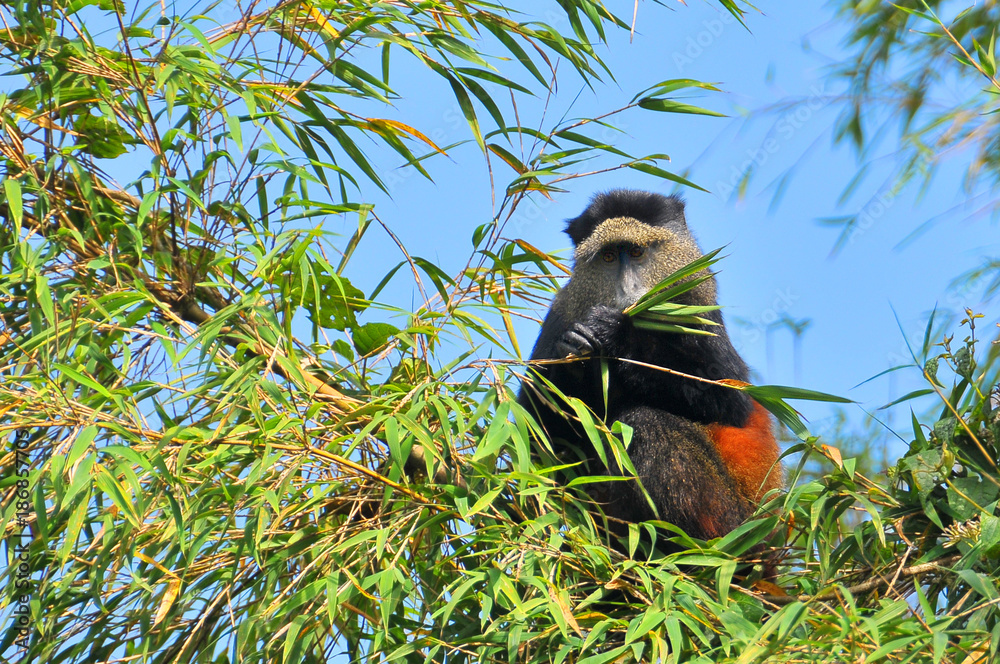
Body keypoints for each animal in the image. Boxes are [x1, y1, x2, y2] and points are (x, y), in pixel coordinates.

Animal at [519, 189, 782, 543]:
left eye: (636, 252)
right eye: (608, 258)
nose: (627, 289)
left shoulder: (699, 311)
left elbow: (731, 400)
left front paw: (615, 335)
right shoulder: (562, 311)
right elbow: (536, 435)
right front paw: (573, 353)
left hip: (732, 516)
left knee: (645, 423)